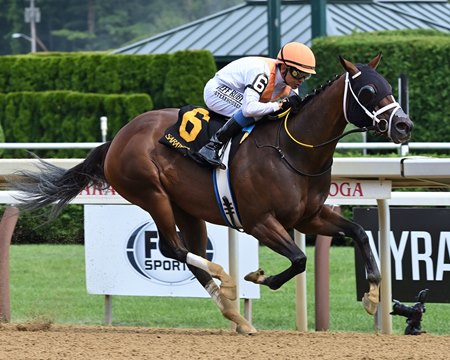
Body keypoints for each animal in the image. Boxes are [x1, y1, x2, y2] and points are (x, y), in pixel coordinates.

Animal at [9, 54, 412, 334]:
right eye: (368, 91)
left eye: (389, 85)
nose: (404, 125)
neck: (292, 148)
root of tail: (118, 138)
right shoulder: (259, 221)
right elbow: (299, 259)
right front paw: (259, 278)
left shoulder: (308, 216)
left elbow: (359, 234)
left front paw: (372, 297)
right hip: (151, 193)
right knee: (173, 247)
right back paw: (228, 281)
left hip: (186, 207)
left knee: (190, 252)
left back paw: (236, 314)